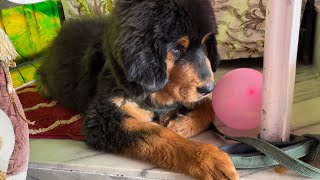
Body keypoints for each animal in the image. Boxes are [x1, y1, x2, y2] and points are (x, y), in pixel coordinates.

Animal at [37, 0, 238, 179]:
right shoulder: (103, 119)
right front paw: (209, 159)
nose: (209, 87)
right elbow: (158, 133)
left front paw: (182, 125)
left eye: (205, 44)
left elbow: (209, 106)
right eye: (177, 48)